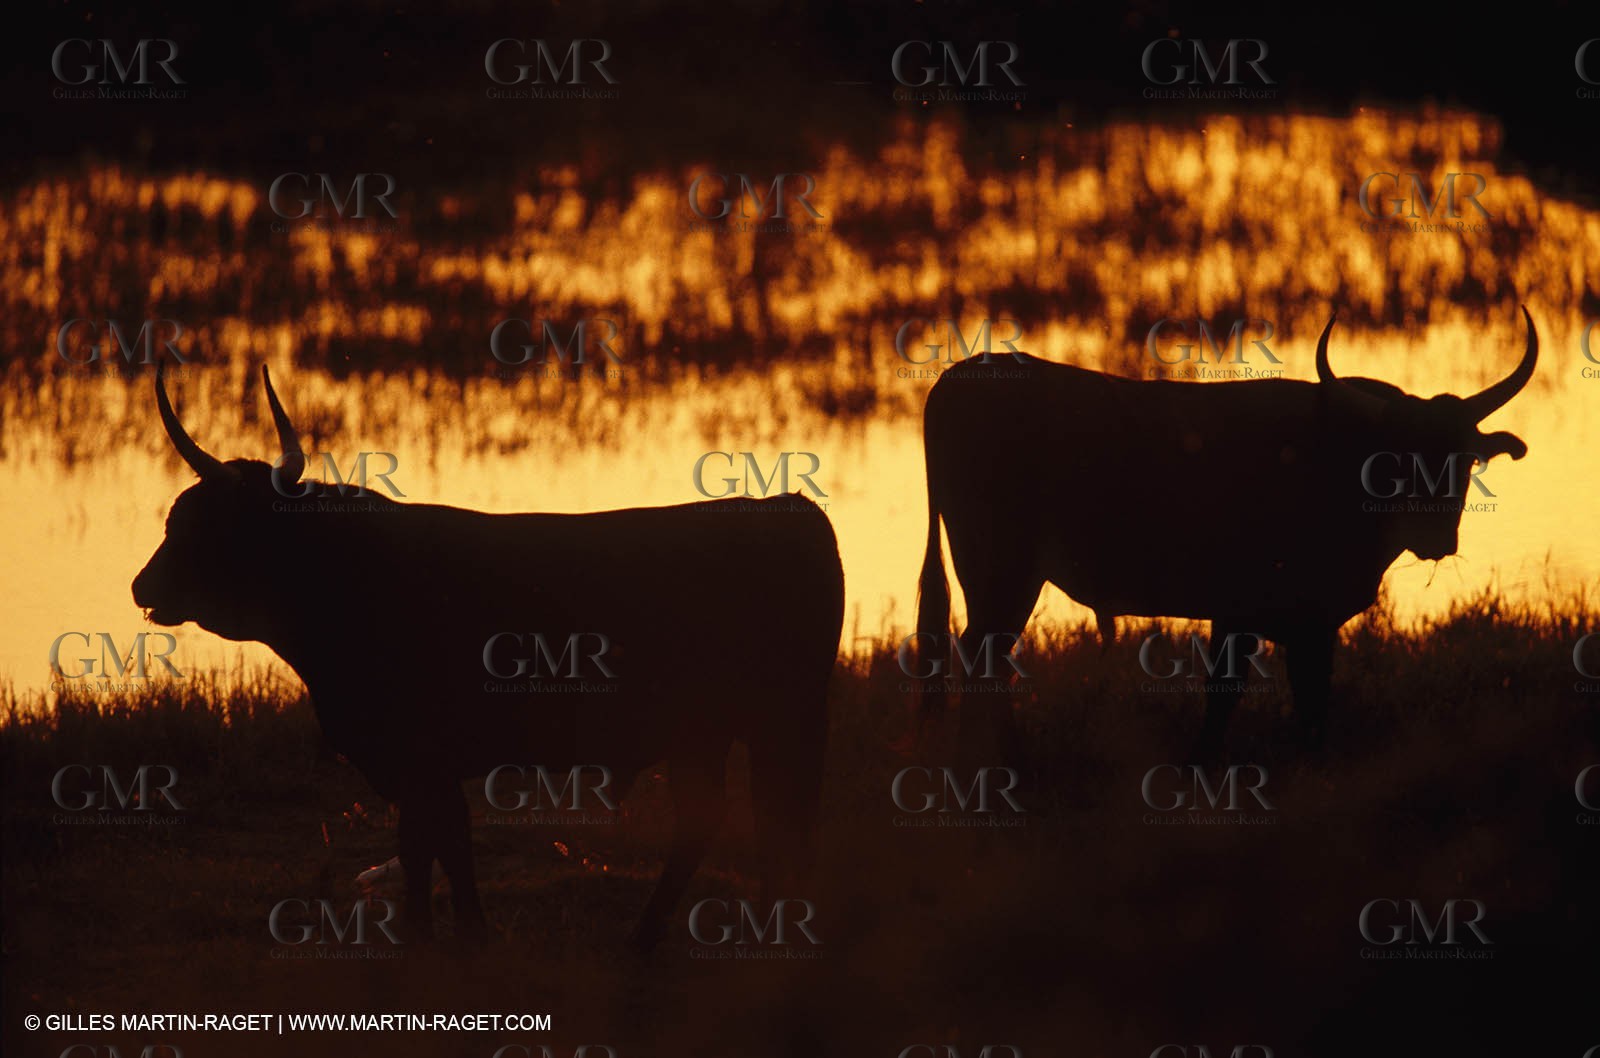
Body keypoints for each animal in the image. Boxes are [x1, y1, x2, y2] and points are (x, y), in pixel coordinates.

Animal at [132, 366, 844, 950]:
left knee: (759, 816)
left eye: (196, 525)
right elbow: (438, 842)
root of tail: (787, 508)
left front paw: (445, 932)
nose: (143, 586)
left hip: (767, 721)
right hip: (718, 732)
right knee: (738, 816)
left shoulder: (419, 754)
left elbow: (435, 840)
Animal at [915, 307, 1538, 755]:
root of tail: (957, 379)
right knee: (982, 655)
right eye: (1395, 461)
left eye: (1465, 460)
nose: (1435, 538)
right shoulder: (1243, 614)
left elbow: (1311, 701)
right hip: (1002, 570)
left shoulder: (1311, 624)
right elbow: (1227, 697)